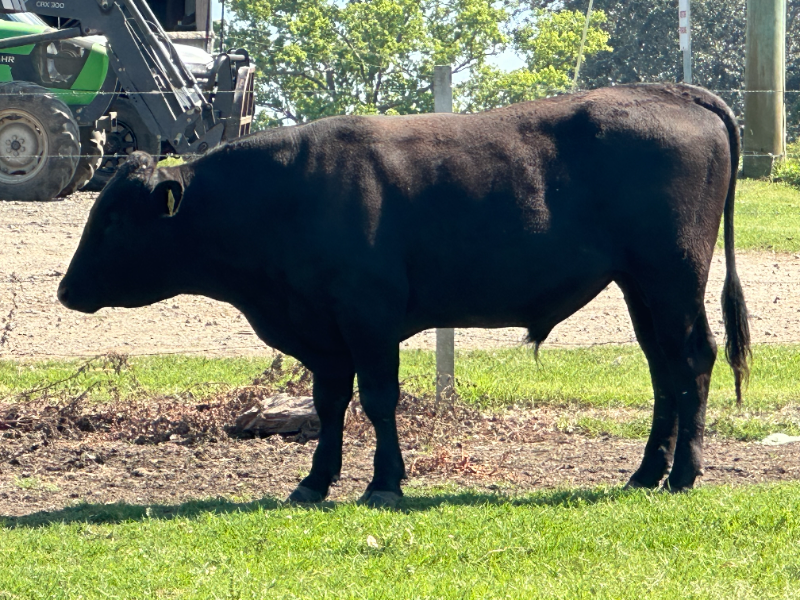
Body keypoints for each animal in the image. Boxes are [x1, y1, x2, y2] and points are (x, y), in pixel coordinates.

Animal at [58, 83, 750, 507]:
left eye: (113, 219)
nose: (66, 290)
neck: (282, 198)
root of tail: (672, 91)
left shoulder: (368, 317)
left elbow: (378, 400)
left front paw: (385, 483)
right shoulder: (324, 333)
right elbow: (330, 403)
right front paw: (315, 481)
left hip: (672, 275)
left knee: (693, 361)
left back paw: (684, 475)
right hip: (641, 287)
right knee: (663, 370)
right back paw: (646, 472)